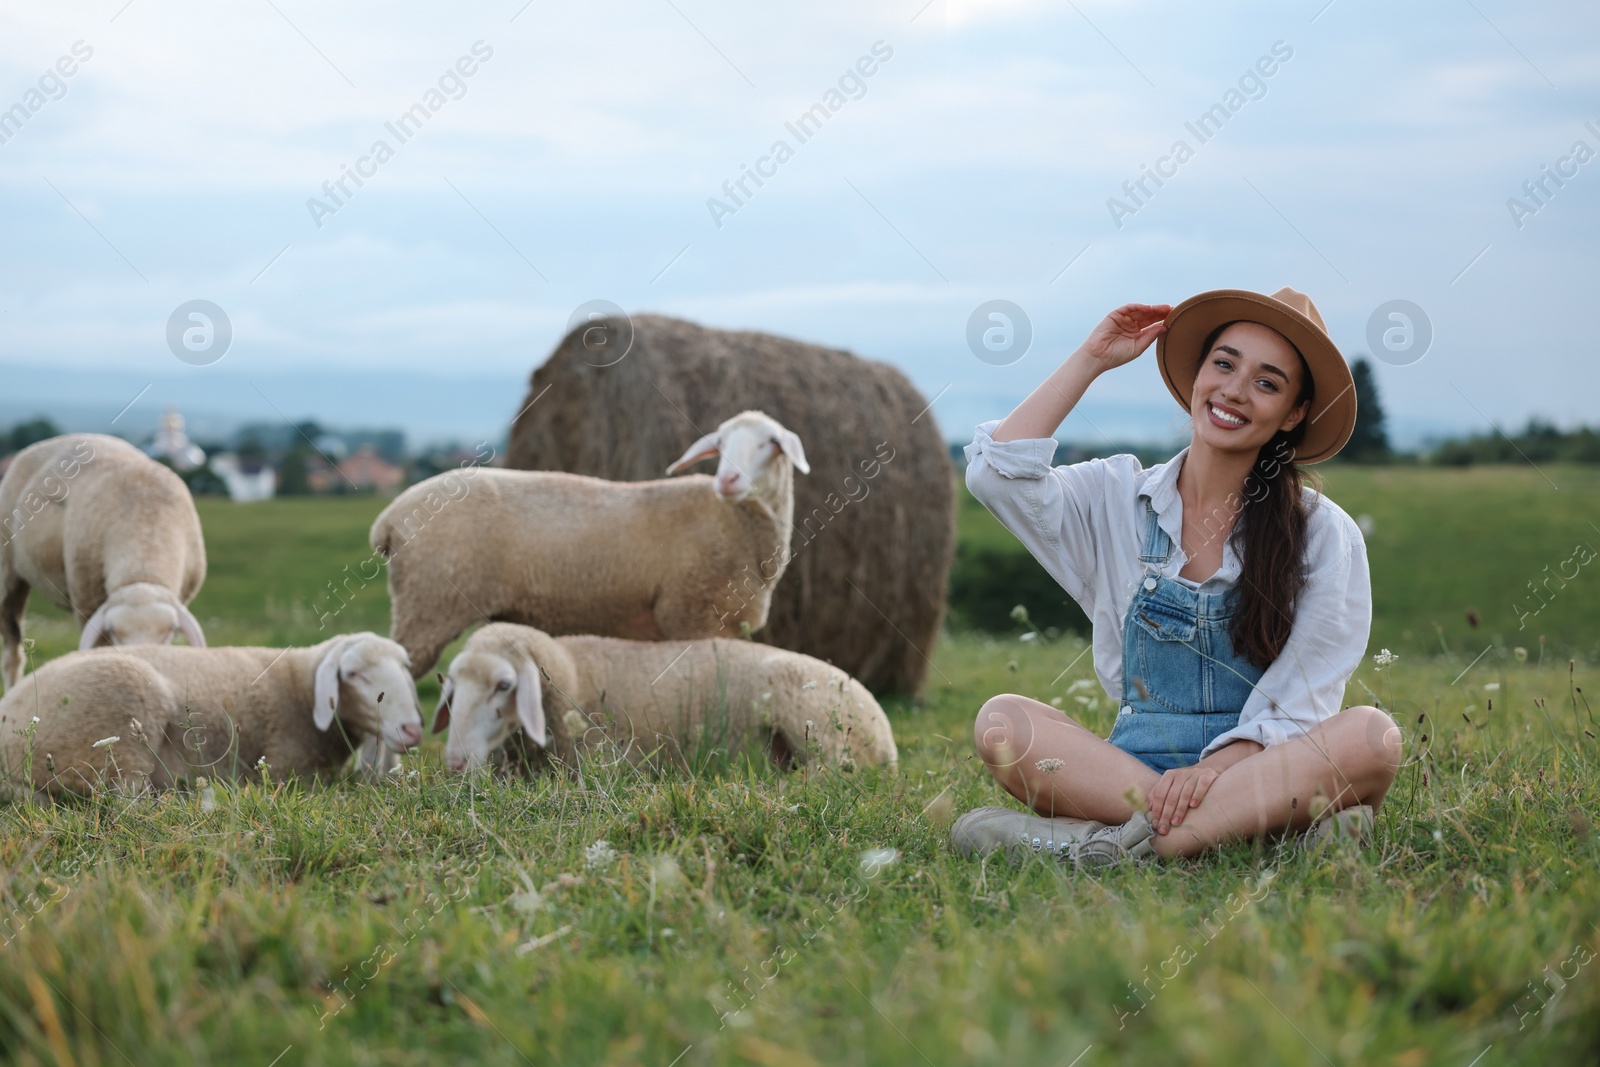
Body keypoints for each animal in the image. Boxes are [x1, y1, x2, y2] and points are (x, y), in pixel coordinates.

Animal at [0, 633, 425, 799]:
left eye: (406, 668)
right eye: (352, 673)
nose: (411, 729)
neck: (300, 686)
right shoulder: (288, 765)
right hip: (121, 725)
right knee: (123, 796)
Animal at [368, 409, 806, 675]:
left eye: (770, 441)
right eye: (721, 443)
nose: (727, 480)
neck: (734, 524)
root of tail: (389, 520)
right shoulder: (689, 617)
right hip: (429, 604)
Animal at [432, 617, 896, 777]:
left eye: (504, 685)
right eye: (452, 687)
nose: (455, 763)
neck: (572, 674)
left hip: (814, 723)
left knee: (836, 773)